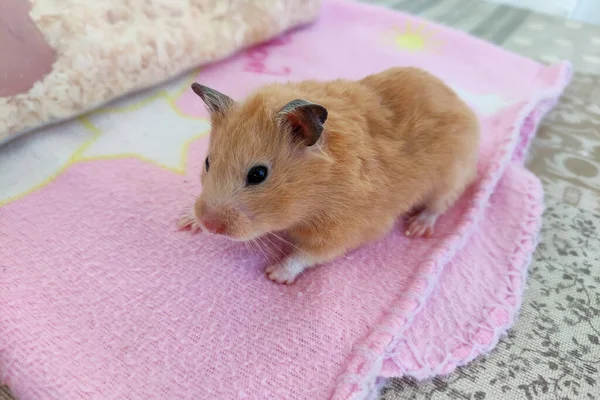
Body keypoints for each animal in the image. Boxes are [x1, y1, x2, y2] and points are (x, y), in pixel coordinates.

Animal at [180, 66, 480, 284]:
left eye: (258, 174)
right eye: (207, 162)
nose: (210, 224)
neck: (317, 188)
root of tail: (460, 102)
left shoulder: (343, 229)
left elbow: (308, 254)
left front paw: (275, 274)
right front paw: (186, 223)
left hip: (452, 174)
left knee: (439, 204)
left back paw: (417, 228)